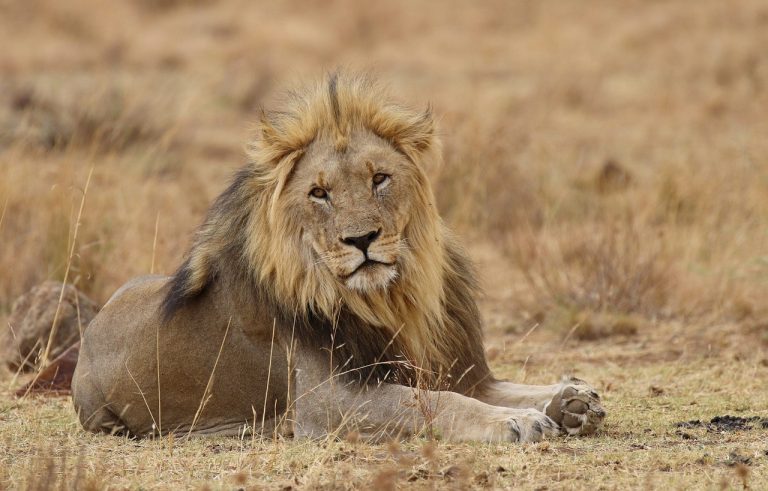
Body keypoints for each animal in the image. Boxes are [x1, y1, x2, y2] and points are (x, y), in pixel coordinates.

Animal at [71, 73, 605, 442]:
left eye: (379, 178)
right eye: (320, 193)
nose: (361, 239)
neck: (394, 299)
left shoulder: (463, 369)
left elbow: (502, 385)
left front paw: (571, 398)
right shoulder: (327, 401)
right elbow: (436, 402)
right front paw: (517, 420)